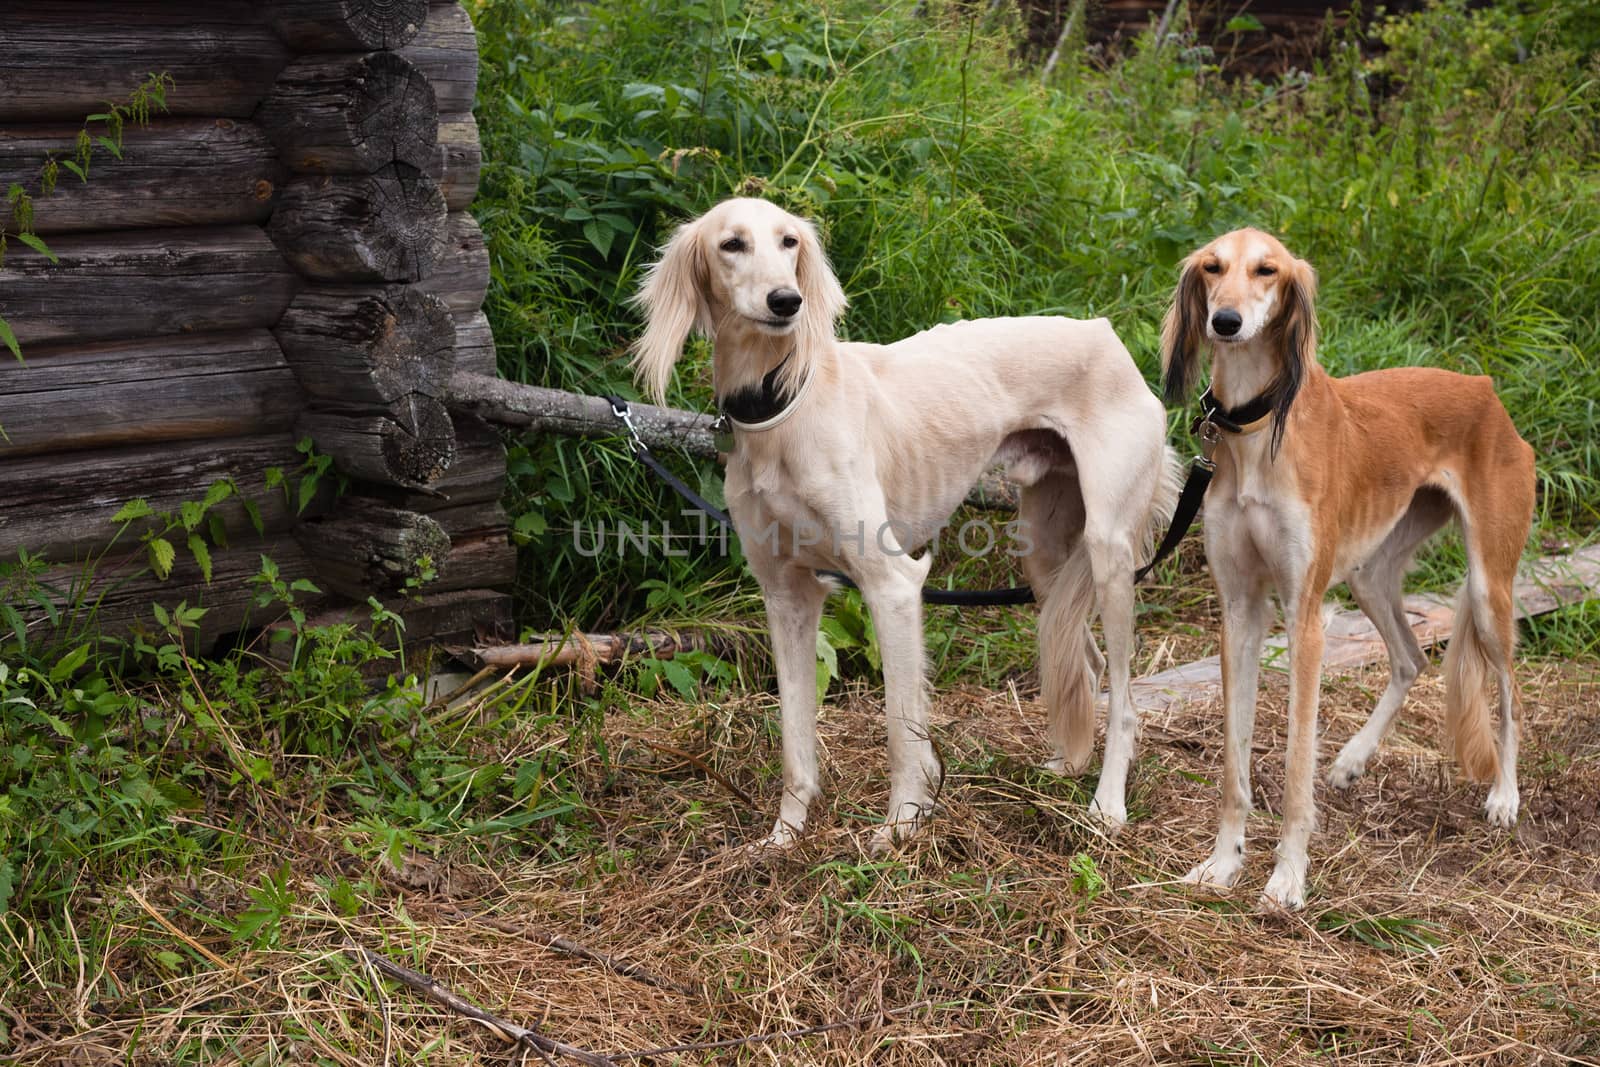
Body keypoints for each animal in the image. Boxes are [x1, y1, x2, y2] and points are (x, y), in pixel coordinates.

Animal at [627, 198, 1177, 851]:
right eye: (731, 244)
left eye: (789, 242)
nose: (787, 302)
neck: (783, 404)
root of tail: (1106, 334)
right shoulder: (787, 596)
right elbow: (794, 736)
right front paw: (785, 836)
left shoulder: (891, 585)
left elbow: (899, 726)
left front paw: (902, 824)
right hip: (1046, 553)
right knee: (1085, 664)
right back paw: (1066, 768)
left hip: (1109, 549)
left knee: (1124, 698)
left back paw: (1106, 806)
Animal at [1164, 225, 1536, 908]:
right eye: (1212, 268)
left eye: (1266, 270)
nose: (1225, 322)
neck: (1257, 428)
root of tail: (1485, 389)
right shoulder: (1239, 611)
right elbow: (1233, 762)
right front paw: (1223, 863)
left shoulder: (1303, 615)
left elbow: (1293, 762)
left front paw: (1286, 879)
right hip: (1369, 573)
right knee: (1411, 658)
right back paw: (1353, 759)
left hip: (1488, 585)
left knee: (1511, 691)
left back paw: (1504, 794)